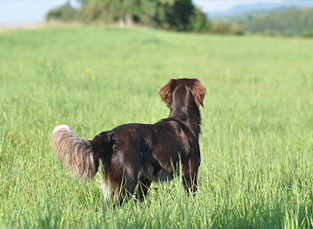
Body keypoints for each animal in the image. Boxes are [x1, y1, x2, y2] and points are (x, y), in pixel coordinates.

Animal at [51, 78, 205, 208]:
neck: (183, 119)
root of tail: (111, 135)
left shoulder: (145, 176)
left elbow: (140, 198)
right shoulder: (190, 171)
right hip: (127, 180)